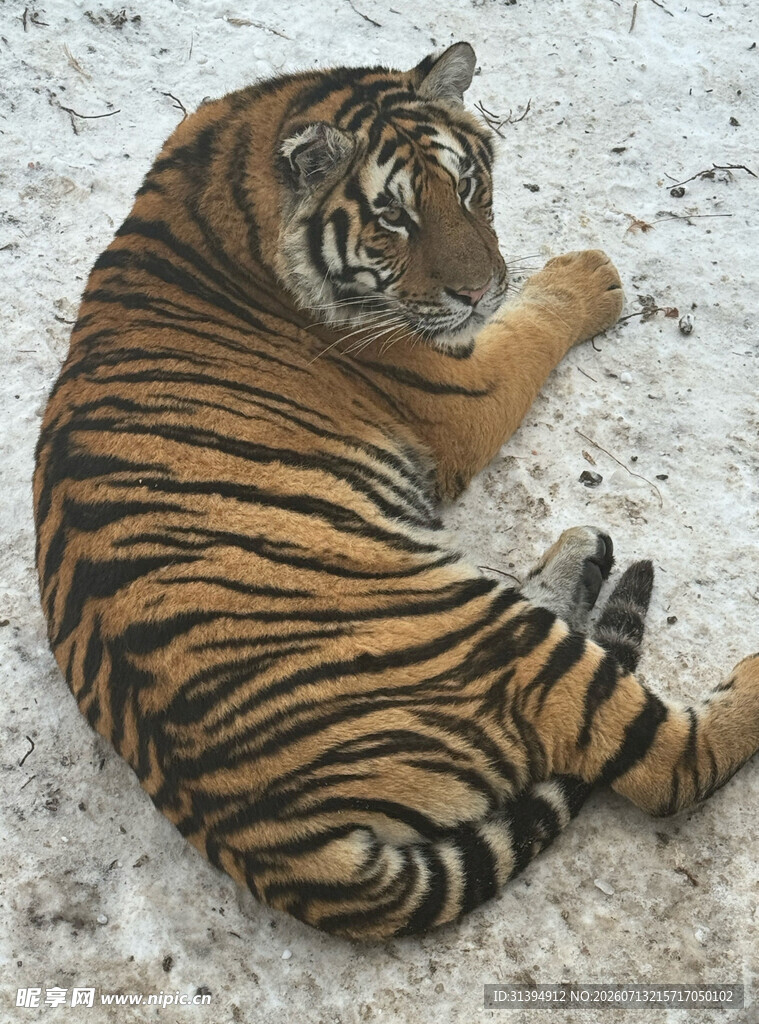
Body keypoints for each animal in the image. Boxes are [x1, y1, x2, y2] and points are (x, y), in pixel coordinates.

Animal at [33, 41, 759, 940]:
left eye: (470, 188)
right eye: (393, 219)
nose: (479, 290)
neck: (230, 169)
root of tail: (271, 843)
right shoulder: (464, 387)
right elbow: (532, 325)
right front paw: (587, 275)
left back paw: (581, 549)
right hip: (482, 638)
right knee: (666, 764)